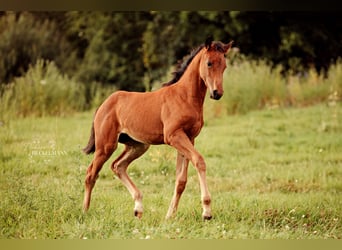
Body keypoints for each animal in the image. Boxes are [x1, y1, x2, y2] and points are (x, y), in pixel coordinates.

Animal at [82, 37, 232, 221]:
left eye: (224, 66)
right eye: (209, 63)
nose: (217, 93)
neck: (185, 97)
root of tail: (103, 105)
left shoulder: (189, 138)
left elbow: (181, 180)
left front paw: (170, 215)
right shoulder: (174, 136)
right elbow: (199, 161)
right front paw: (207, 211)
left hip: (138, 145)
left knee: (118, 166)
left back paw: (138, 208)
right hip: (106, 146)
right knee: (91, 174)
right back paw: (85, 211)